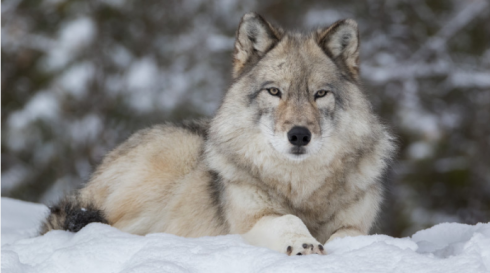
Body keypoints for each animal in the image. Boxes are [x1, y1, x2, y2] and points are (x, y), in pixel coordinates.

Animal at [40, 12, 396, 255]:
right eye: (274, 92)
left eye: (320, 94)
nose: (298, 135)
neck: (301, 188)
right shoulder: (251, 221)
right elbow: (288, 220)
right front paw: (303, 244)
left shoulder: (356, 224)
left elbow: (352, 235)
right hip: (171, 162)